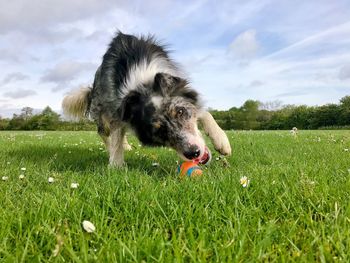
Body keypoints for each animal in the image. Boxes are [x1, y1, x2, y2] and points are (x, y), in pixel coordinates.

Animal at [62, 31, 232, 167]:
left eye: (181, 112)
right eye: (159, 130)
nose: (193, 153)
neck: (143, 84)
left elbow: (204, 112)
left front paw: (221, 141)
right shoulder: (115, 108)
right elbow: (116, 137)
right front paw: (116, 165)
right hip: (101, 107)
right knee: (104, 132)